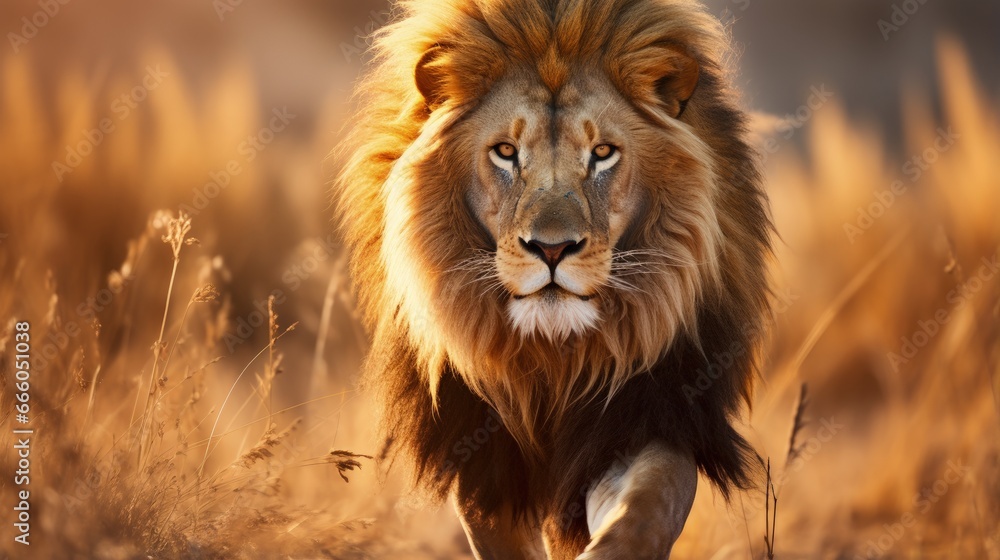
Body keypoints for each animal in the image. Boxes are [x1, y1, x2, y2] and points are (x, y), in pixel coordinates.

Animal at [336, 0, 772, 558]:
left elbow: (646, 508)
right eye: (505, 152)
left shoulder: (650, 409)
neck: (555, 358)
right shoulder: (482, 458)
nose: (551, 249)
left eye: (603, 153)